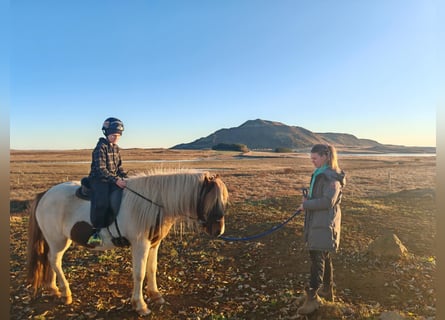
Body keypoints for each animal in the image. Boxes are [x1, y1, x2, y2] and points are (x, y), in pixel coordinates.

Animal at [26, 171, 229, 316]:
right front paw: (140, 305)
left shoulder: (153, 244)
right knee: (55, 260)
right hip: (58, 240)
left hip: (55, 240)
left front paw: (155, 295)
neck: (153, 203)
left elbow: (152, 269)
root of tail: (45, 194)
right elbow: (139, 274)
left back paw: (54, 289)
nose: (219, 231)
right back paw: (66, 293)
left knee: (50, 260)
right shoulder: (140, 245)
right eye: (211, 200)